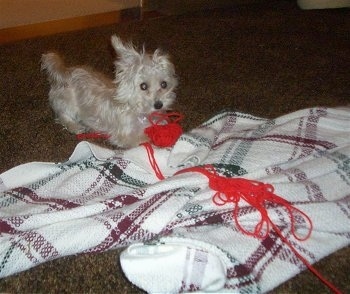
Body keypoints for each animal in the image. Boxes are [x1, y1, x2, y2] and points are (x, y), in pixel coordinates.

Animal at [41, 35, 178, 148]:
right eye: (143, 86)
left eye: (164, 84)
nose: (159, 104)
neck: (139, 111)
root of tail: (66, 72)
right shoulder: (124, 136)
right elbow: (145, 139)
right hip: (66, 102)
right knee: (63, 116)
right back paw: (75, 127)